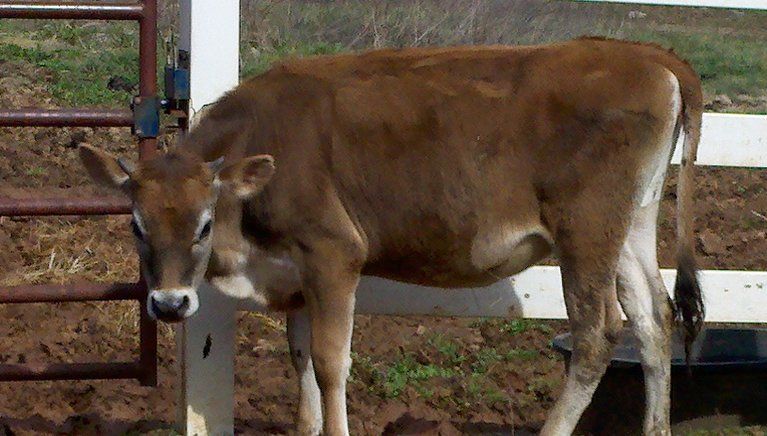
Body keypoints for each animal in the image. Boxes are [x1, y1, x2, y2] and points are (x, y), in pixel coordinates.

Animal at [79, 37, 704, 435]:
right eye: (136, 226)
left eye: (204, 224)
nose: (168, 304)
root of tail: (642, 53)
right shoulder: (297, 274)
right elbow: (301, 359)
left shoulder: (332, 253)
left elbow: (331, 362)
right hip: (631, 224)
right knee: (654, 319)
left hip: (585, 230)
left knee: (598, 334)